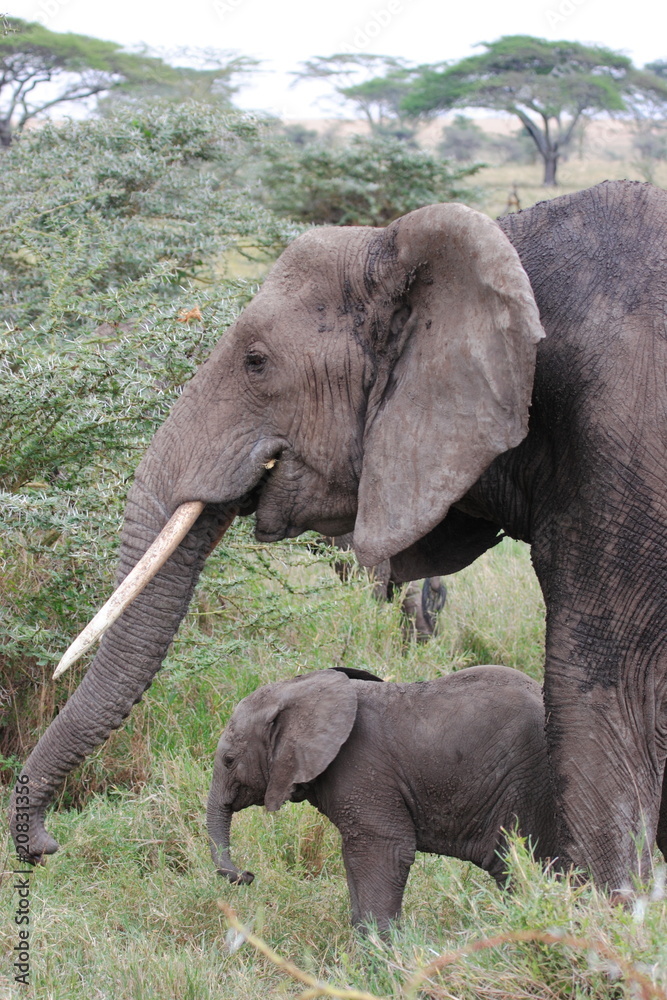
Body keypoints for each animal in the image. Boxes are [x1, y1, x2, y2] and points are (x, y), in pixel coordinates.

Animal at [207, 665, 560, 931]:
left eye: (229, 760)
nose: (248, 875)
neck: (299, 689)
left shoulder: (362, 767)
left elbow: (385, 848)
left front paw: (377, 954)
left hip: (525, 780)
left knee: (513, 866)